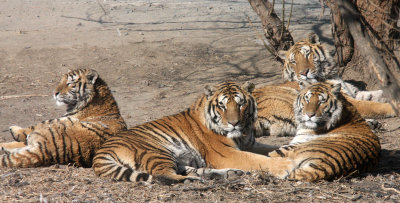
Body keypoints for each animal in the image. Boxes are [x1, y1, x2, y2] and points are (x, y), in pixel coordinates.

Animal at [92, 81, 290, 184]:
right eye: (222, 105)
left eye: (241, 103)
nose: (234, 123)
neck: (242, 134)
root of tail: (101, 151)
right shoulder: (226, 153)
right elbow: (257, 160)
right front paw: (284, 166)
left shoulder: (251, 144)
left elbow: (269, 150)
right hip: (156, 151)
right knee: (163, 176)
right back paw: (194, 181)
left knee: (192, 170)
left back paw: (230, 174)